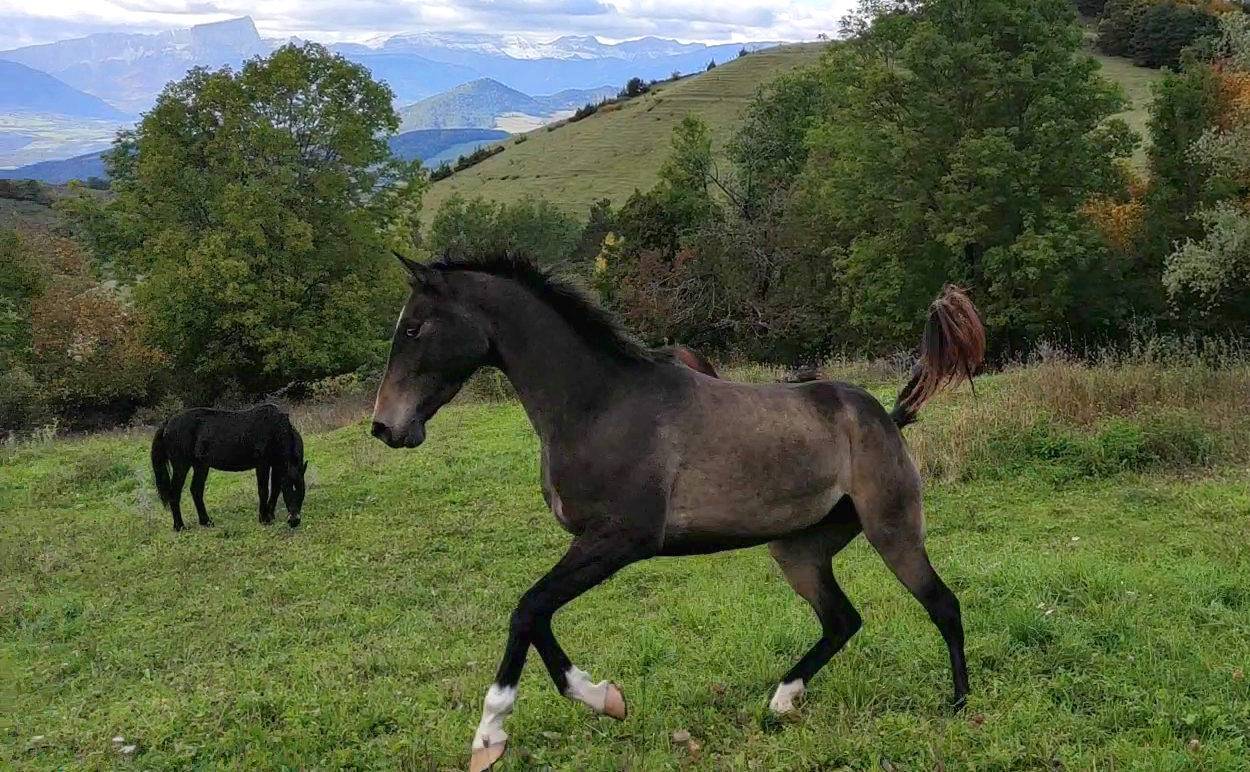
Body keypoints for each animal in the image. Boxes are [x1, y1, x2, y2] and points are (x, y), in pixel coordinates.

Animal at [150, 404, 307, 532]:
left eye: (302, 489)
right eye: (289, 490)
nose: (294, 520)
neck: (275, 430)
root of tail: (167, 423)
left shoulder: (277, 465)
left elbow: (275, 489)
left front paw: (270, 514)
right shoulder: (262, 464)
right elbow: (264, 490)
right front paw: (264, 519)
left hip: (201, 465)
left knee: (196, 490)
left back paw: (206, 522)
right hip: (181, 466)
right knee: (175, 493)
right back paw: (180, 526)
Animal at [370, 254, 984, 772]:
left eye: (413, 328)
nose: (385, 426)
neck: (600, 405)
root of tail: (885, 415)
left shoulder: (621, 540)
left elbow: (527, 608)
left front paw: (491, 735)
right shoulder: (593, 544)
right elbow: (539, 615)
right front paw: (605, 699)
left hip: (892, 530)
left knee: (942, 604)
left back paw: (958, 705)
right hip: (799, 549)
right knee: (841, 620)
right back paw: (782, 701)